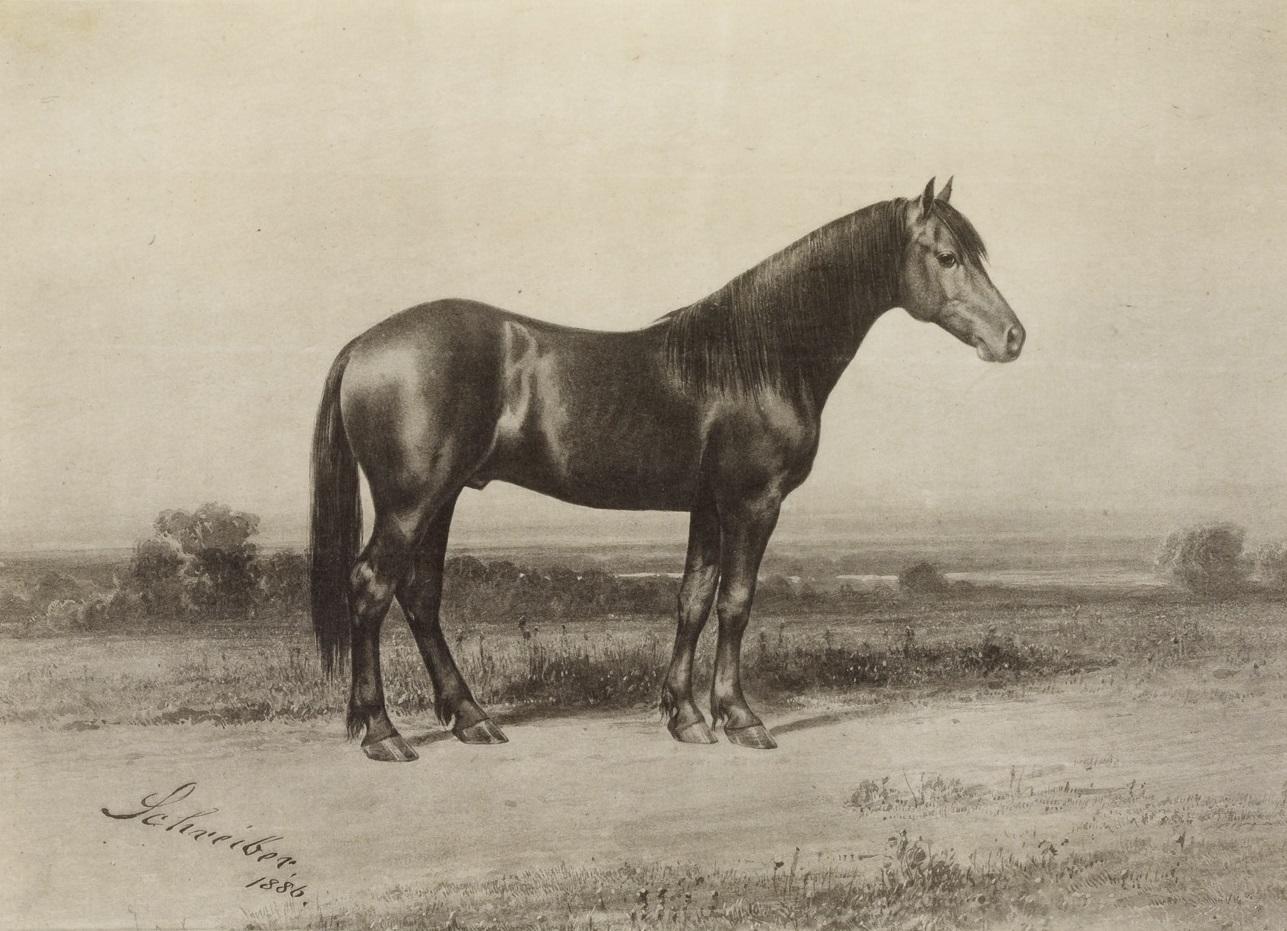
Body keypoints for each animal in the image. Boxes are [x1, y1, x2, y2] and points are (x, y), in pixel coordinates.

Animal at [309, 177, 1025, 762]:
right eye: (948, 256)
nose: (1013, 338)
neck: (757, 357)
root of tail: (366, 344)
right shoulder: (753, 503)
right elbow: (736, 602)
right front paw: (740, 718)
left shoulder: (708, 505)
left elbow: (693, 600)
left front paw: (686, 716)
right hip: (412, 501)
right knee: (372, 587)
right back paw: (382, 733)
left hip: (443, 497)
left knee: (421, 596)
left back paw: (472, 719)